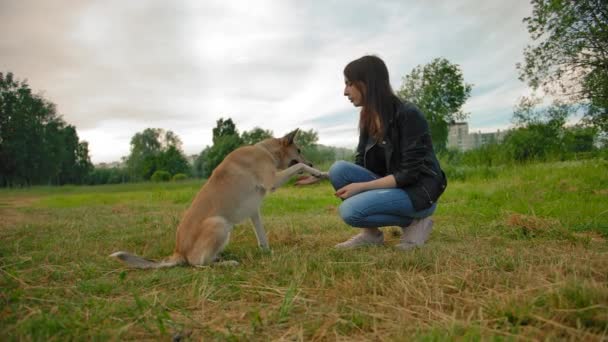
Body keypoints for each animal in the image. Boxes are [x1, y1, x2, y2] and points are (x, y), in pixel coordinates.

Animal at [111, 130, 326, 268]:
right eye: (299, 150)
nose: (312, 162)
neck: (266, 151)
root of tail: (178, 252)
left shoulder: (254, 212)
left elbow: (262, 237)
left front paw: (267, 253)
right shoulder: (272, 180)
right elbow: (298, 167)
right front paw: (318, 172)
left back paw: (221, 258)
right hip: (219, 224)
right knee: (197, 264)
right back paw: (225, 263)